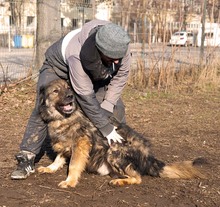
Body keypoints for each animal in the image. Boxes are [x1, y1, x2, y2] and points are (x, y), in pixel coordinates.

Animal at [37, 79, 205, 188]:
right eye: (56, 91)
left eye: (69, 88)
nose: (70, 96)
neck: (64, 117)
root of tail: (148, 157)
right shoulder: (64, 143)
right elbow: (58, 159)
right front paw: (50, 168)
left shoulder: (81, 144)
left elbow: (73, 165)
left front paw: (70, 182)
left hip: (113, 150)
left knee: (137, 178)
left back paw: (119, 181)